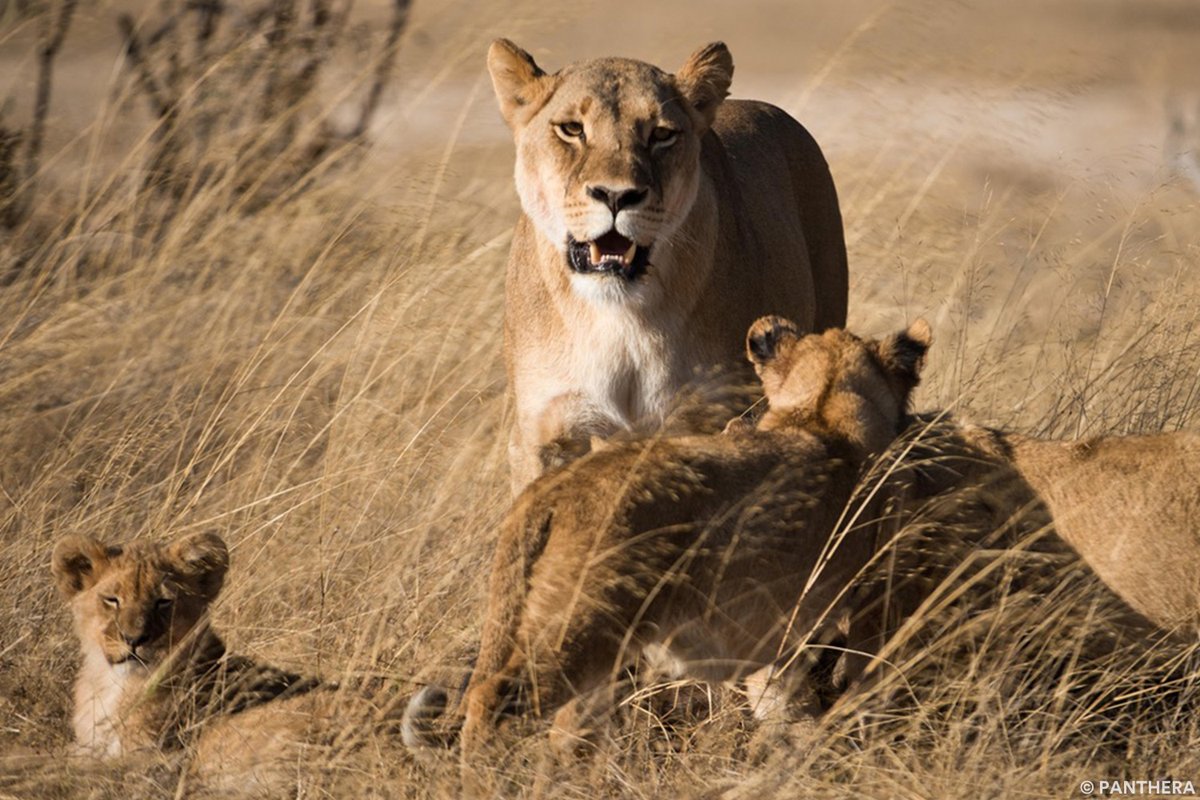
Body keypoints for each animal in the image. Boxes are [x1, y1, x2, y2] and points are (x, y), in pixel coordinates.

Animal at [401, 317, 932, 776]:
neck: (822, 411)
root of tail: (552, 487)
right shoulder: (871, 600)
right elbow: (866, 677)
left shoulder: (779, 627)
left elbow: (781, 699)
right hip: (584, 624)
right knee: (495, 698)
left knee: (565, 727)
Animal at [488, 39, 849, 492]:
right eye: (571, 129)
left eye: (660, 134)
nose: (616, 195)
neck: (616, 318)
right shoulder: (542, 435)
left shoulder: (707, 420)